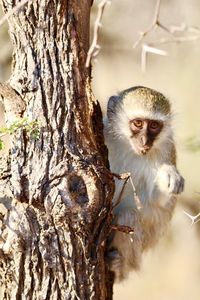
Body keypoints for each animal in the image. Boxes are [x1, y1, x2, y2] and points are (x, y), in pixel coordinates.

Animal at [104, 86, 185, 282]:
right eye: (138, 123)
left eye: (154, 126)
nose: (144, 142)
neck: (129, 147)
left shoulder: (166, 150)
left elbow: (158, 201)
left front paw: (168, 175)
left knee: (129, 216)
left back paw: (120, 266)